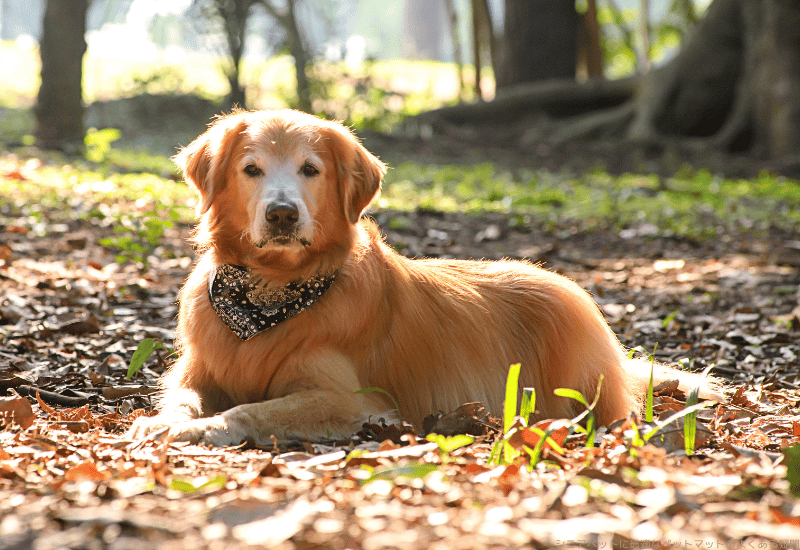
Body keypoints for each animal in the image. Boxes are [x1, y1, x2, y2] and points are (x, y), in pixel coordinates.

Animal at [130, 109, 720, 448]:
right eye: (251, 169)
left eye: (310, 170)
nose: (281, 215)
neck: (266, 292)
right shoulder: (195, 371)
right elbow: (178, 398)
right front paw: (164, 421)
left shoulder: (357, 402)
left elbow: (257, 408)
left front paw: (205, 427)